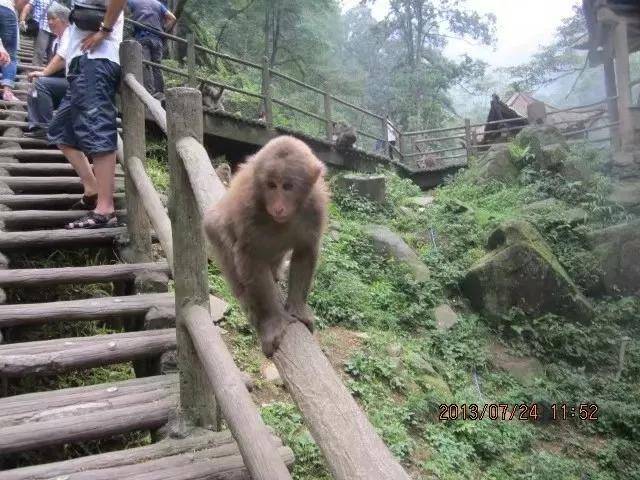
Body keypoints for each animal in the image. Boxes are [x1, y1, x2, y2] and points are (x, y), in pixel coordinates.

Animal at [202, 135, 328, 356]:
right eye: (271, 185)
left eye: (287, 186)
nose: (278, 206)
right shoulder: (248, 208)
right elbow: (249, 257)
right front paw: (273, 321)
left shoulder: (315, 207)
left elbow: (305, 250)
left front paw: (298, 309)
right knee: (217, 228)